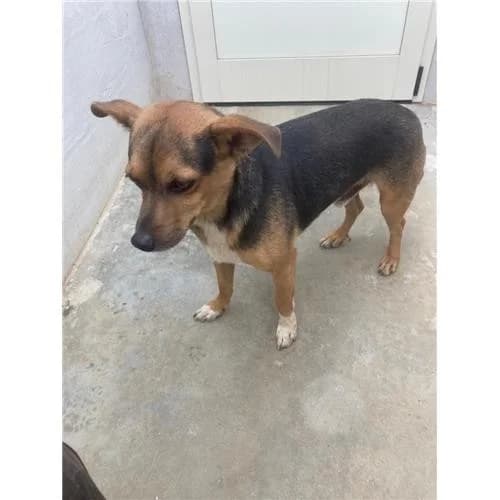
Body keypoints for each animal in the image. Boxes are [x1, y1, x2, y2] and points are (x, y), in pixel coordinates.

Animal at [90, 99, 425, 349]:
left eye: (182, 185)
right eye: (134, 181)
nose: (140, 242)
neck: (224, 207)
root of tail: (405, 111)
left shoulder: (284, 262)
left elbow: (282, 299)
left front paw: (286, 328)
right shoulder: (220, 256)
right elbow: (225, 287)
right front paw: (217, 307)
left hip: (392, 199)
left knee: (398, 225)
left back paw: (391, 259)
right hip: (346, 189)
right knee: (356, 206)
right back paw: (338, 236)